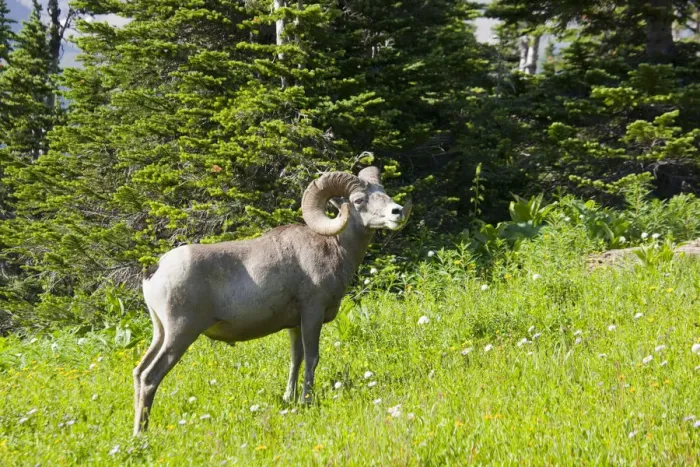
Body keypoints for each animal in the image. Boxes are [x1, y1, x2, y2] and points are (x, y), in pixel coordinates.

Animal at [132, 166, 411, 435]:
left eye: (383, 192)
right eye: (359, 200)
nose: (397, 212)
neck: (333, 248)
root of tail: (155, 270)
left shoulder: (294, 325)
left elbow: (296, 359)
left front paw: (290, 398)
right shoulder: (312, 313)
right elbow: (312, 358)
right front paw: (306, 400)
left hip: (161, 333)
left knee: (138, 371)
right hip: (181, 334)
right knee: (150, 376)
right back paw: (141, 433)